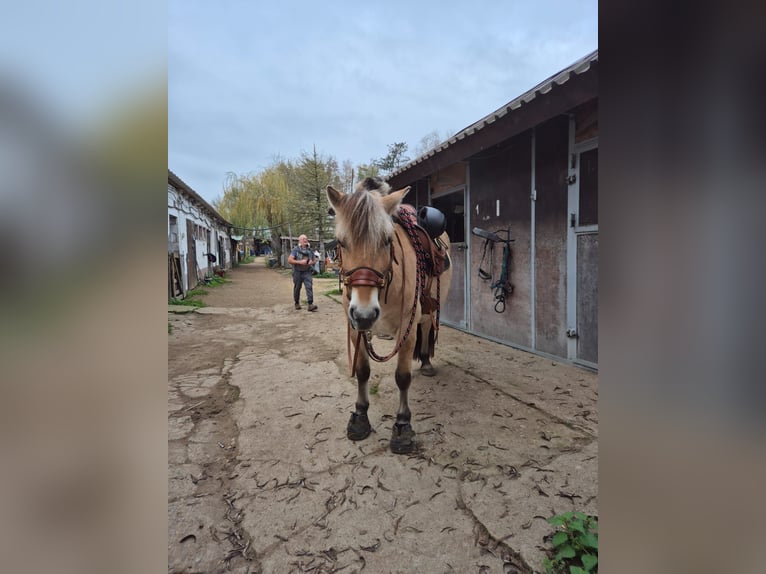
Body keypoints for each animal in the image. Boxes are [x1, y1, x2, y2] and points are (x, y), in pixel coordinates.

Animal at [328, 176, 452, 454]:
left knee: (426, 327)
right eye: (341, 242)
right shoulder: (355, 328)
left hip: (428, 308)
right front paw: (360, 416)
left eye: (386, 240)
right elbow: (362, 371)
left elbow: (402, 377)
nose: (365, 313)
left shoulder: (407, 326)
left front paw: (403, 426)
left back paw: (426, 362)